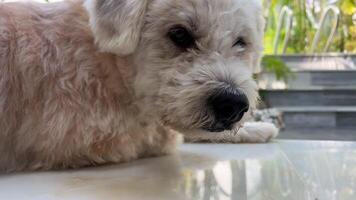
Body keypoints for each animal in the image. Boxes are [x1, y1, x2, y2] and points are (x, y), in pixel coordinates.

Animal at [0, 0, 278, 172]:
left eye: (241, 42)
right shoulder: (85, 140)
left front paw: (256, 128)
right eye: (179, 34)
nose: (232, 104)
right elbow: (174, 135)